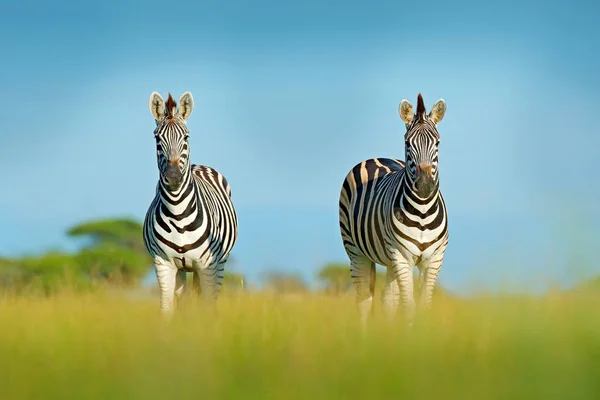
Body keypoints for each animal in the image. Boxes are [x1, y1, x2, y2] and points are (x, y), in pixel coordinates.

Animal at [144, 91, 238, 316]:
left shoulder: (208, 265)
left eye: (186, 137)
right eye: (157, 138)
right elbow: (167, 309)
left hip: (218, 264)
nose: (173, 177)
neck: (178, 213)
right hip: (182, 269)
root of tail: (198, 165)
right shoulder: (163, 263)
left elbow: (208, 306)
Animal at [340, 93, 448, 324]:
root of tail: (375, 157)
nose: (425, 185)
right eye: (407, 143)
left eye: (437, 142)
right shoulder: (402, 256)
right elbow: (409, 307)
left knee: (387, 300)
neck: (422, 212)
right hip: (356, 251)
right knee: (364, 301)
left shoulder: (434, 259)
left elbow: (424, 306)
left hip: (389, 260)